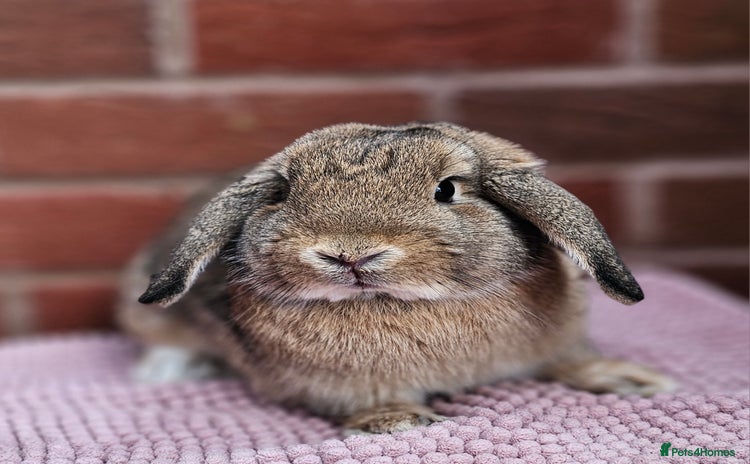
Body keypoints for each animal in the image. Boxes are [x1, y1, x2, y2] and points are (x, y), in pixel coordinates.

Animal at [119, 122, 675, 434]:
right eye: (283, 195)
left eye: (447, 189)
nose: (350, 253)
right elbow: (374, 400)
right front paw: (396, 421)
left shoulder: (562, 339)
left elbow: (571, 361)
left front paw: (631, 379)